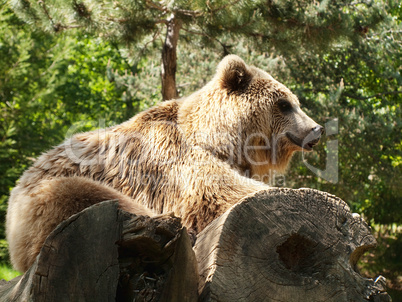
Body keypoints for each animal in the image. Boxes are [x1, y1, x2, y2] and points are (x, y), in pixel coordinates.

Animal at [5, 55, 324, 272]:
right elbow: (217, 192)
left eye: (294, 102)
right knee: (88, 197)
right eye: (284, 104)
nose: (316, 129)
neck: (221, 141)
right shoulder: (169, 159)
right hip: (49, 198)